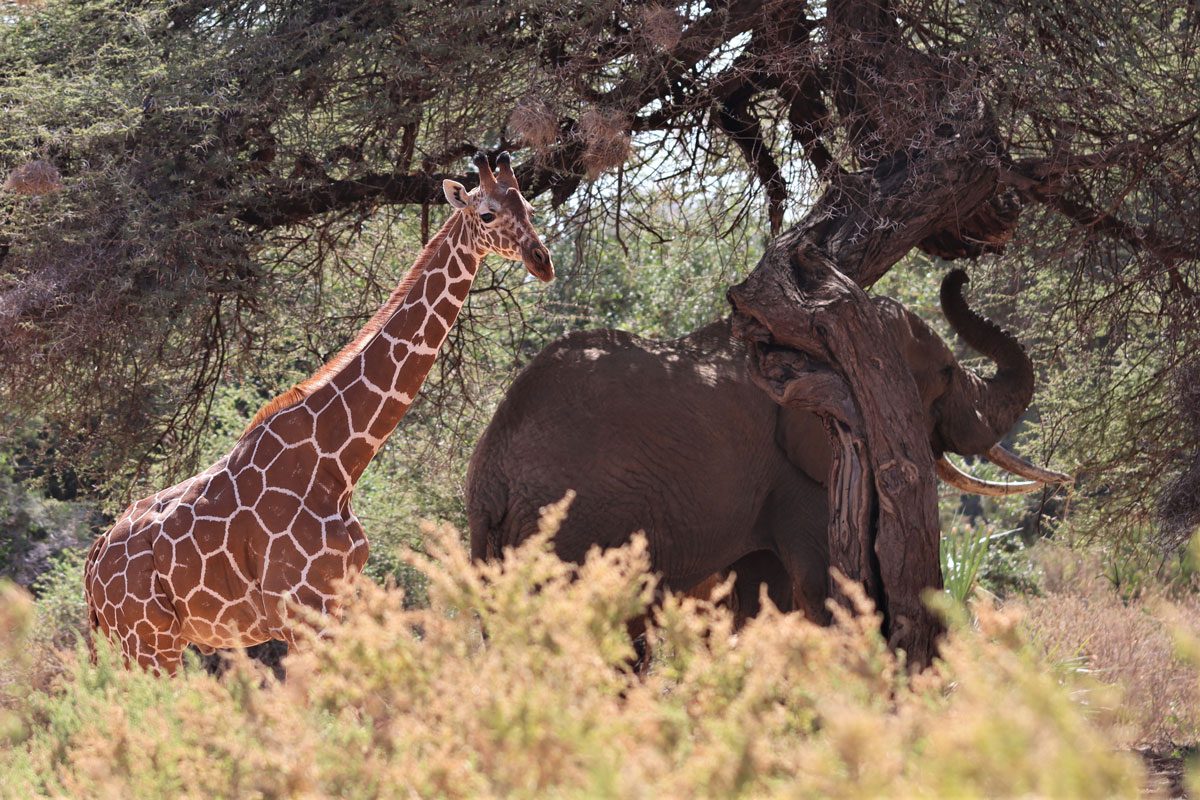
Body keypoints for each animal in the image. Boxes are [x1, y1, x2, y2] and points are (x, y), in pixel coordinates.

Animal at [84, 153, 552, 671]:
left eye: (530, 207)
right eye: (487, 214)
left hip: (149, 644)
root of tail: (92, 565)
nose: (542, 261)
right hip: (149, 643)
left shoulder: (337, 601)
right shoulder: (301, 610)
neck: (339, 459)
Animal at [468, 272, 1070, 628]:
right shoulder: (798, 471)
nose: (958, 273)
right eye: (943, 373)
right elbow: (819, 581)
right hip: (575, 524)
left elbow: (763, 590)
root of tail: (492, 473)